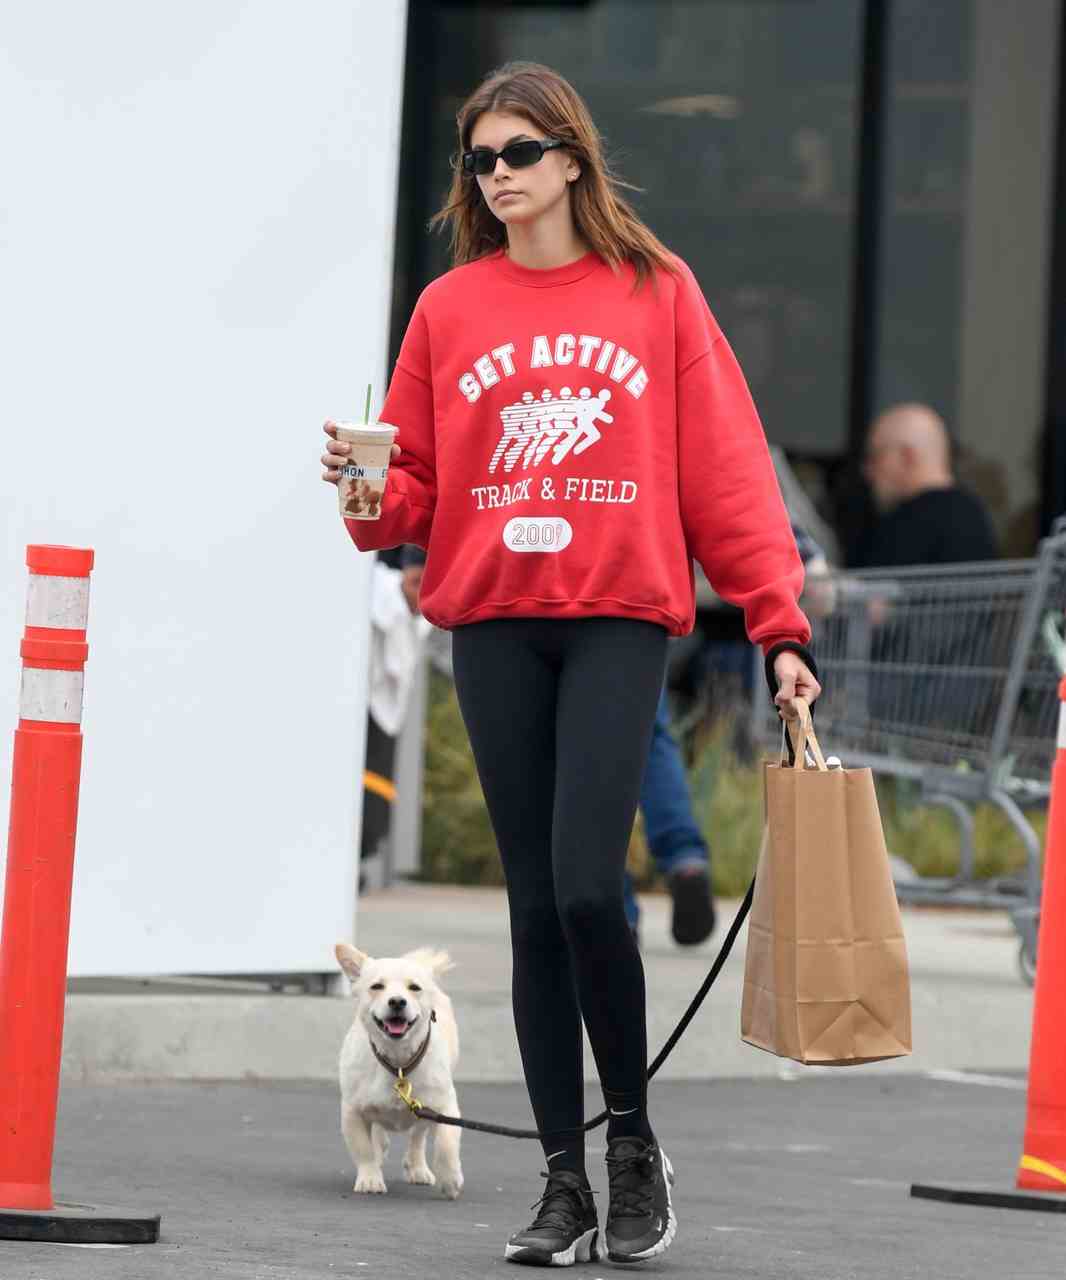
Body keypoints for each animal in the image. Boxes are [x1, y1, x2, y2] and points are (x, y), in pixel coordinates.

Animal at [337, 942, 460, 1198]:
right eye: (376, 986)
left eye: (415, 988)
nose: (396, 1001)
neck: (398, 1062)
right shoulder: (352, 1111)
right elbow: (363, 1148)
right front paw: (370, 1178)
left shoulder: (445, 1107)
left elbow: (446, 1143)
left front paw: (451, 1180)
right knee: (379, 1136)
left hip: (424, 1111)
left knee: (417, 1137)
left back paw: (418, 1168)